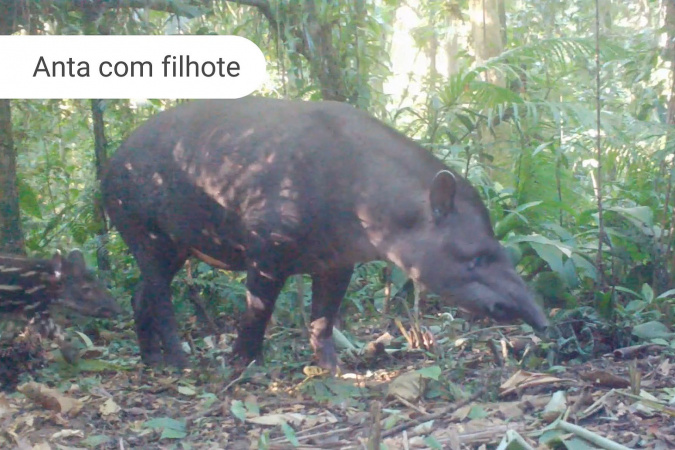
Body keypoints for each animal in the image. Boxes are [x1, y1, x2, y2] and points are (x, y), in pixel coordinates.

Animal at [101, 97, 548, 370]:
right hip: (142, 225)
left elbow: (324, 318)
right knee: (159, 294)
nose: (542, 319)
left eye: (504, 252)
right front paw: (243, 363)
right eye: (476, 257)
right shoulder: (268, 248)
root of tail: (109, 164)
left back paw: (151, 359)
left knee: (141, 292)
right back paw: (179, 360)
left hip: (176, 245)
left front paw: (333, 369)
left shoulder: (337, 260)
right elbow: (258, 310)